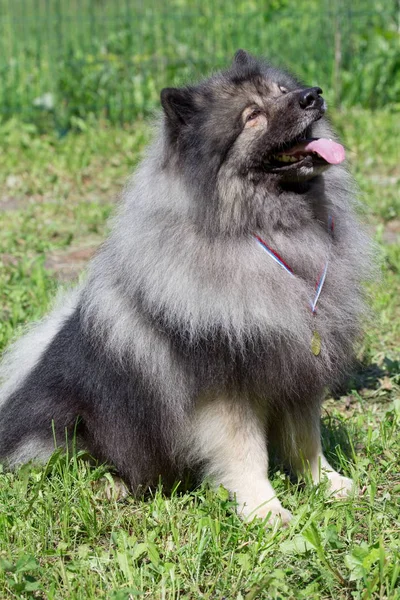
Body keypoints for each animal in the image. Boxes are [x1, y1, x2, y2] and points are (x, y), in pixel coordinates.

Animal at [0, 49, 372, 524]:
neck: (265, 232)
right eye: (252, 116)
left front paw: (329, 484)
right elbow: (247, 454)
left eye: (282, 91)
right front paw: (266, 511)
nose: (312, 94)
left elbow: (306, 442)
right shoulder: (226, 385)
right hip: (71, 422)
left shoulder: (297, 371)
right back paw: (113, 486)